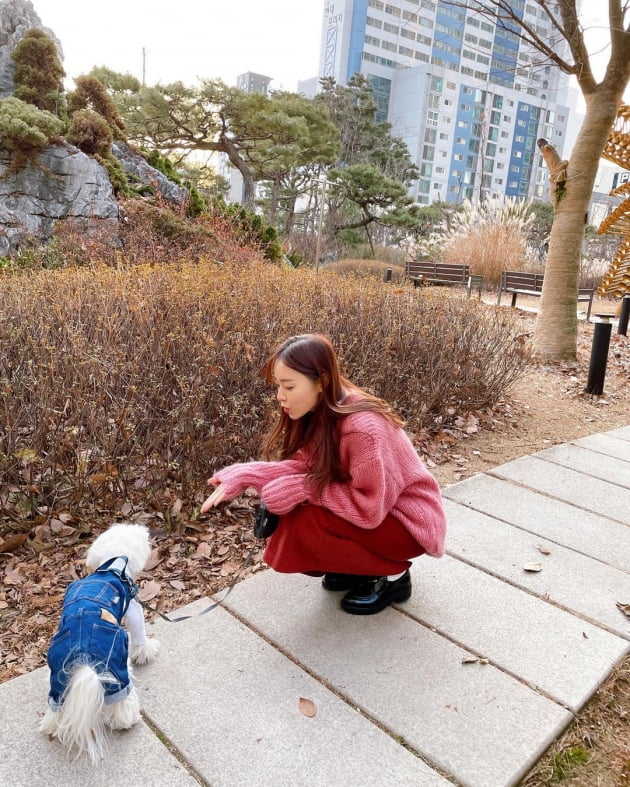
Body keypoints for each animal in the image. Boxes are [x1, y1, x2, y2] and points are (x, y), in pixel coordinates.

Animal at [39, 524, 160, 764]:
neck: (111, 567)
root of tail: (83, 653)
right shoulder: (133, 607)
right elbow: (139, 630)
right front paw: (146, 650)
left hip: (59, 676)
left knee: (57, 704)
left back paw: (54, 725)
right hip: (116, 662)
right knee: (121, 697)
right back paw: (126, 719)